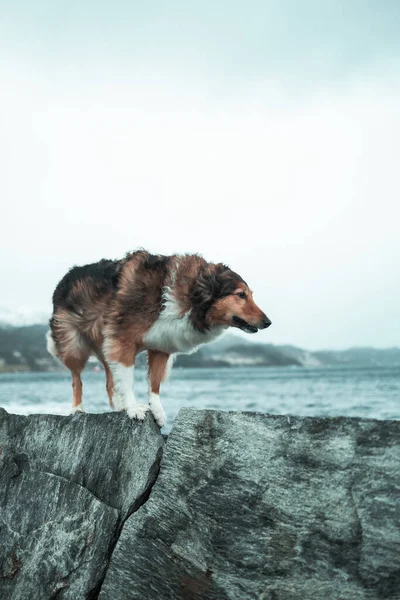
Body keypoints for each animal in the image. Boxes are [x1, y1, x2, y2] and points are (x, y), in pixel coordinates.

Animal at [47, 248, 272, 426]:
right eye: (241, 294)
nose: (268, 322)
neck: (191, 293)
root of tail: (65, 277)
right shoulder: (122, 340)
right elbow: (128, 380)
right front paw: (133, 409)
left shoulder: (160, 345)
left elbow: (154, 384)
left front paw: (157, 411)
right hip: (74, 346)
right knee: (77, 379)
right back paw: (77, 409)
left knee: (110, 382)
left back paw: (118, 407)